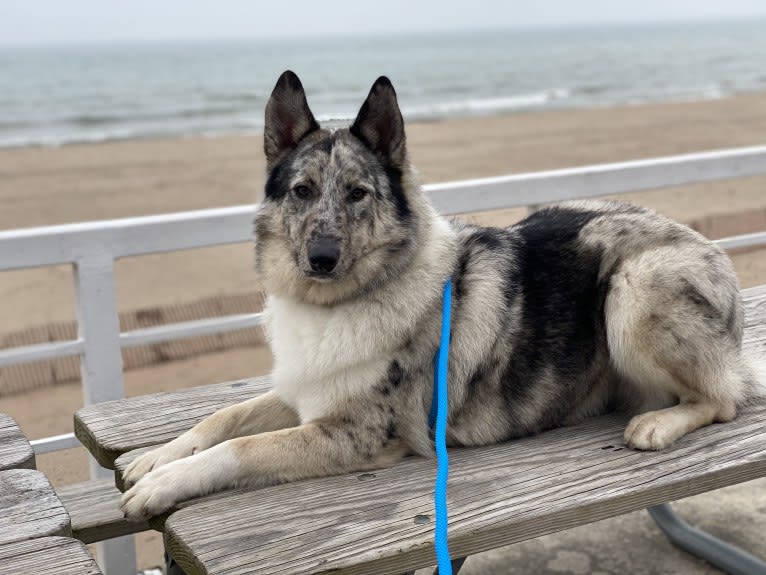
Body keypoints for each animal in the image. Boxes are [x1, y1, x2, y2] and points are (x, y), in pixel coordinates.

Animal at [120, 70, 760, 520]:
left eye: (357, 194)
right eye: (302, 191)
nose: (321, 258)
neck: (344, 301)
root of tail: (708, 246)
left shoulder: (352, 435)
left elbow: (242, 449)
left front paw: (162, 484)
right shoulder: (306, 392)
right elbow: (224, 417)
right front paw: (156, 457)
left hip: (631, 290)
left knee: (724, 399)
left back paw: (659, 424)